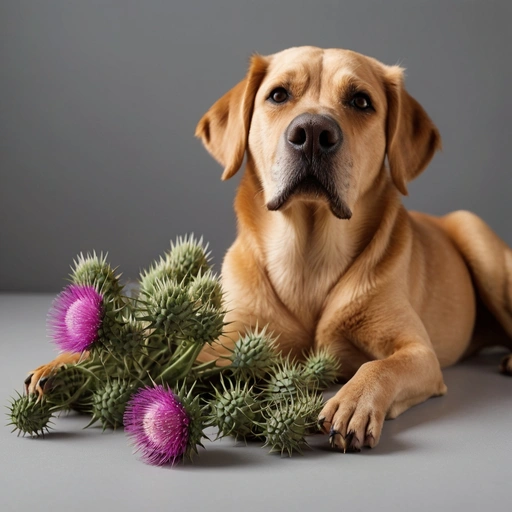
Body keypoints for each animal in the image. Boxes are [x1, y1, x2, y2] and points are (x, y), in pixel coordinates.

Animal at [27, 45, 512, 452]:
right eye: (278, 95)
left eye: (361, 101)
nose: (313, 131)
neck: (309, 259)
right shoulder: (232, 336)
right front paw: (74, 362)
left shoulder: (418, 354)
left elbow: (378, 366)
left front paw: (353, 401)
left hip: (477, 240)